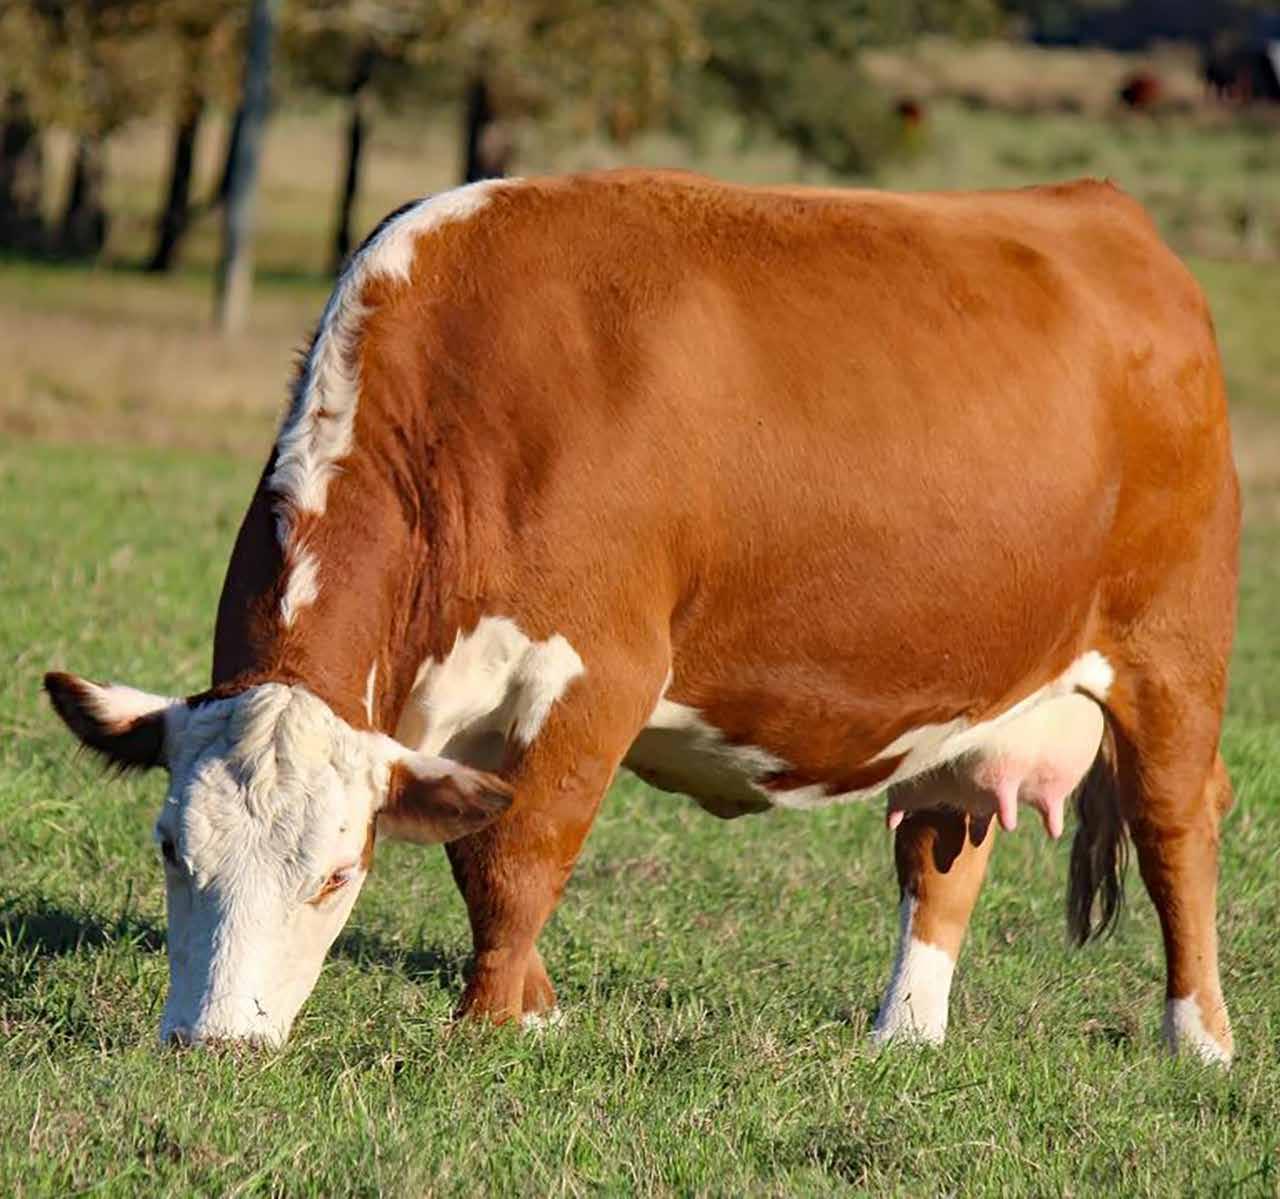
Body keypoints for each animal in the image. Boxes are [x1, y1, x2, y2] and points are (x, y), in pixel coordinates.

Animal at [44, 170, 1239, 1065]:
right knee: (940, 845)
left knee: (1176, 828)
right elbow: (481, 853)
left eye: (338, 872)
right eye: (168, 847)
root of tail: (1102, 211)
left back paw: (1198, 1038)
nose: (212, 1043)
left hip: (1172, 653)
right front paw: (535, 1009)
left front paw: (489, 1027)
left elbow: (517, 858)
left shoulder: (597, 676)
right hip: (973, 678)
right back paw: (902, 1033)